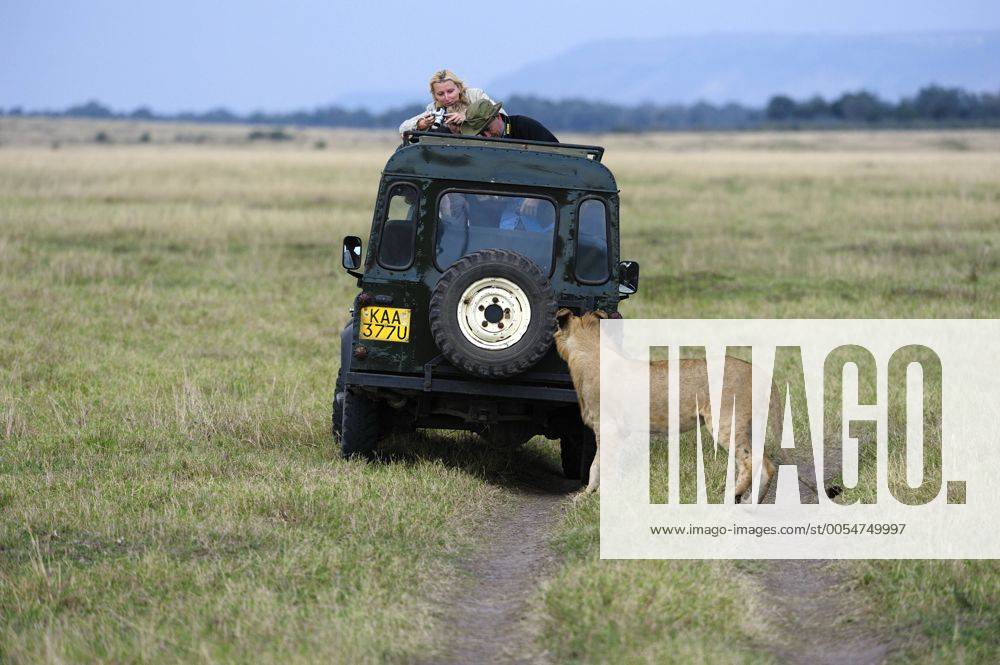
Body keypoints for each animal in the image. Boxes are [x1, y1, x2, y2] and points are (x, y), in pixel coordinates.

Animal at [554, 309, 776, 502]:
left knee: (750, 462)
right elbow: (596, 465)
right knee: (767, 466)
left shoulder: (607, 426)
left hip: (725, 422)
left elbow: (600, 464)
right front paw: (585, 496)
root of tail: (756, 371)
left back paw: (732, 495)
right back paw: (750, 502)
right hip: (750, 427)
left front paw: (597, 498)